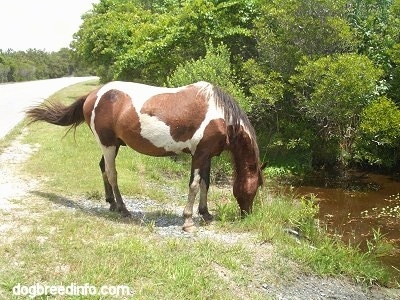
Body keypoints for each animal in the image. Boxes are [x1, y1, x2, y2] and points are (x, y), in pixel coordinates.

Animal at [26, 81, 264, 231]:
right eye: (254, 188)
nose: (247, 214)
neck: (221, 116)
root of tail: (94, 94)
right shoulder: (199, 154)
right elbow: (195, 185)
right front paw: (188, 221)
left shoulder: (207, 155)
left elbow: (205, 184)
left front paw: (205, 214)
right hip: (108, 144)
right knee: (112, 173)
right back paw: (123, 209)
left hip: (112, 145)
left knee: (103, 168)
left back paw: (111, 204)